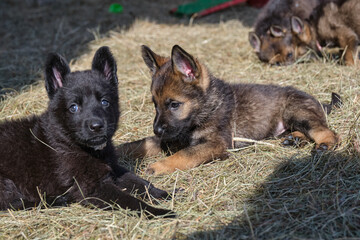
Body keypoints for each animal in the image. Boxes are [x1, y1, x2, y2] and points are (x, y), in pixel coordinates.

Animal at [0, 46, 174, 218]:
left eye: (104, 102)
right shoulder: (92, 187)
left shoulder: (113, 169)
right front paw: (159, 212)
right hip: (6, 183)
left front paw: (165, 194)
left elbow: (140, 182)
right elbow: (131, 200)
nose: (97, 126)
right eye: (74, 107)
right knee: (15, 203)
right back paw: (57, 200)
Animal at [118, 45, 340, 176]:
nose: (157, 130)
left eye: (174, 104)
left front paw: (158, 166)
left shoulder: (216, 144)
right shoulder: (171, 137)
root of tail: (318, 101)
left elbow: (184, 155)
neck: (205, 109)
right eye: (155, 104)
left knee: (325, 130)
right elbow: (141, 144)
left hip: (296, 113)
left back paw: (324, 144)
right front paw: (116, 150)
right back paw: (294, 139)